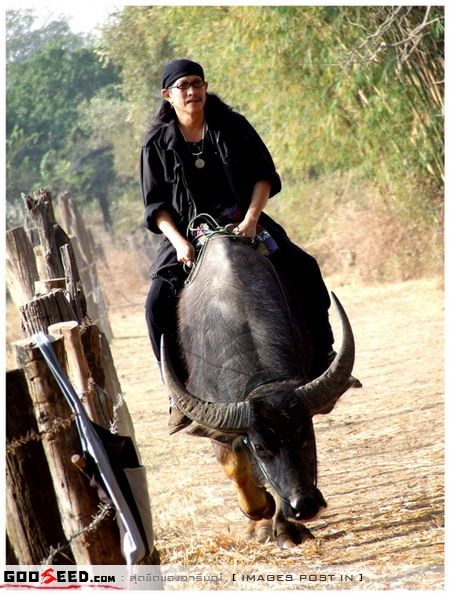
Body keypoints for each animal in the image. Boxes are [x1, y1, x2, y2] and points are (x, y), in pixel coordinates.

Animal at [162, 234, 358, 547]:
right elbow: (234, 465)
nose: (304, 506)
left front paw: (286, 528)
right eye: (261, 447)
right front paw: (260, 510)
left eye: (306, 436)